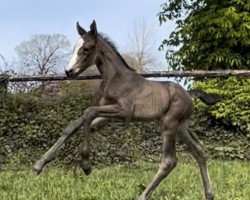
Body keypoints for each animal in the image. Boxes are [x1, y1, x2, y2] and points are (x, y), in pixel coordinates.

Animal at [33, 20, 217, 200]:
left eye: (85, 49)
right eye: (74, 48)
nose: (68, 72)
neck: (116, 79)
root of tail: (189, 94)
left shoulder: (124, 112)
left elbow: (88, 112)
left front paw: (86, 165)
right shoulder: (107, 114)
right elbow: (76, 124)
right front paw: (39, 164)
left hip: (169, 124)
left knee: (169, 161)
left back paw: (142, 196)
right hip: (180, 127)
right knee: (199, 149)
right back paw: (209, 194)